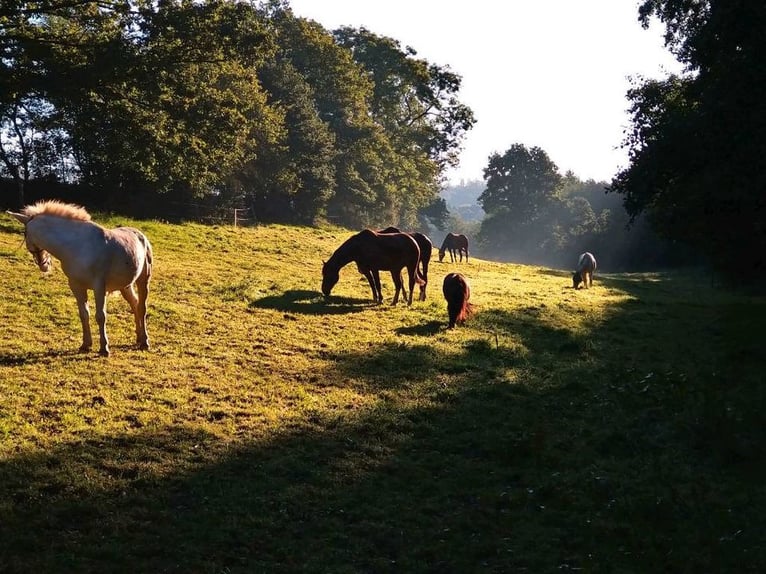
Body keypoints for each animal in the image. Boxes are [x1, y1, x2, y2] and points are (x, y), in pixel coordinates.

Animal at [7, 200, 153, 356]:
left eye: (25, 233)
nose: (44, 265)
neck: (78, 246)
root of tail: (141, 236)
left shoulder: (99, 287)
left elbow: (100, 316)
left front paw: (104, 348)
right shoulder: (76, 286)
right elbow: (84, 314)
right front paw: (85, 344)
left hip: (143, 280)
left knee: (142, 307)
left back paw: (145, 342)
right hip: (125, 286)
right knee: (135, 304)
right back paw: (138, 337)